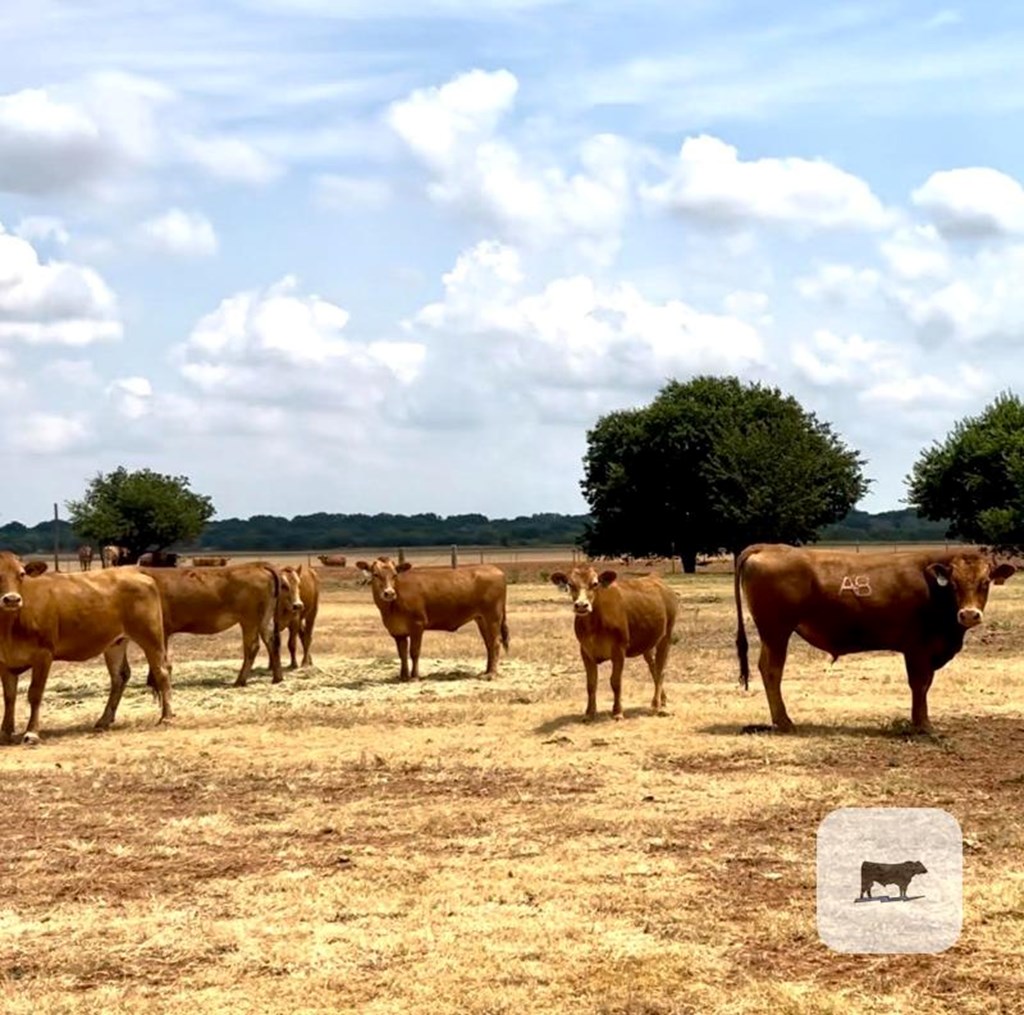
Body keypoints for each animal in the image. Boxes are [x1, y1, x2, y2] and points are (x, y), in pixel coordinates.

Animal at [0, 553, 171, 741]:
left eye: (21, 574)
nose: (12, 600)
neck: (9, 626)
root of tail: (135, 571)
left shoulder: (43, 654)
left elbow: (35, 693)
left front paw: (31, 732)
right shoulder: (4, 661)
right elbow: (9, 697)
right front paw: (5, 731)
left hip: (151, 637)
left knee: (162, 671)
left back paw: (167, 717)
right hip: (116, 643)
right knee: (119, 676)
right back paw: (104, 719)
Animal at [356, 557, 507, 684]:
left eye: (394, 575)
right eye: (375, 574)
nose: (389, 593)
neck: (392, 606)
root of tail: (496, 569)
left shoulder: (417, 625)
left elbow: (414, 652)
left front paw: (414, 677)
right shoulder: (397, 632)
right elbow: (402, 654)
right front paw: (403, 676)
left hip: (493, 616)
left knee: (495, 642)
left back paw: (491, 674)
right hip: (481, 619)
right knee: (488, 644)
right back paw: (486, 671)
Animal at [737, 544, 1015, 733]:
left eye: (986, 582)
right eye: (954, 584)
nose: (969, 614)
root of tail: (770, 546)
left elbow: (925, 684)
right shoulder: (917, 648)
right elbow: (920, 684)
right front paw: (922, 725)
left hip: (773, 634)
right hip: (776, 632)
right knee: (772, 670)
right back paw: (784, 721)